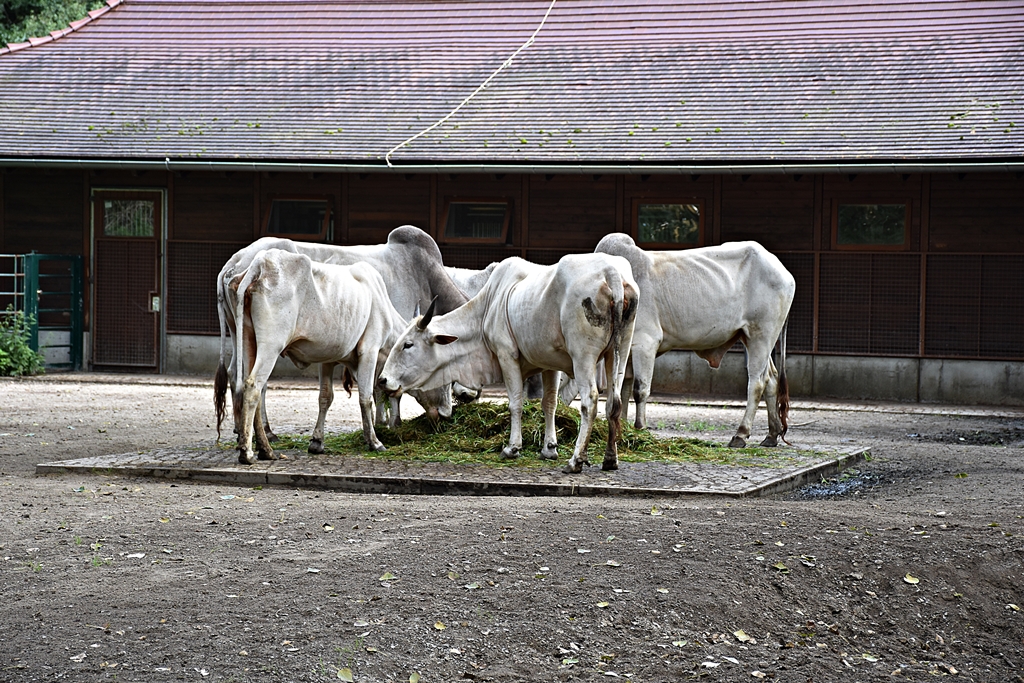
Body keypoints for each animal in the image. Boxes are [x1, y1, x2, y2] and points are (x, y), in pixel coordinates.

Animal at [213, 225, 468, 441]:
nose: (449, 410)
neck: (425, 277)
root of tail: (235, 262)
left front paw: (382, 424)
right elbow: (384, 389)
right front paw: (388, 425)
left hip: (240, 333)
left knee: (237, 375)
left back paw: (243, 429)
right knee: (257, 381)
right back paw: (264, 432)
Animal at [231, 249, 416, 464]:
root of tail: (261, 262)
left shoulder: (327, 359)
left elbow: (325, 397)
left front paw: (317, 442)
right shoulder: (369, 350)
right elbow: (366, 397)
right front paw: (374, 442)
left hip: (248, 341)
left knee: (254, 389)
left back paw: (265, 450)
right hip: (271, 345)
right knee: (253, 387)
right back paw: (247, 452)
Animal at [378, 254, 639, 474]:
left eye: (408, 344)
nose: (383, 380)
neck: (489, 306)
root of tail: (611, 273)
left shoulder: (507, 356)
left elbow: (515, 403)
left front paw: (512, 448)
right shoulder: (550, 364)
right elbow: (549, 404)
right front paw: (549, 449)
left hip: (582, 356)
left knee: (590, 401)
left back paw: (576, 460)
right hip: (618, 352)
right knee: (613, 402)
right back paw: (610, 459)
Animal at [588, 233, 795, 448]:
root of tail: (781, 269)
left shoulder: (646, 342)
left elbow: (640, 390)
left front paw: (640, 428)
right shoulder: (626, 349)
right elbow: (624, 389)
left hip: (761, 335)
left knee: (757, 382)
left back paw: (740, 434)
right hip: (752, 338)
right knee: (771, 378)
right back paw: (771, 435)